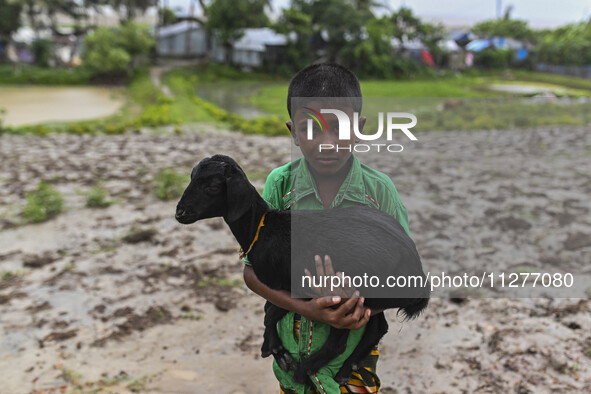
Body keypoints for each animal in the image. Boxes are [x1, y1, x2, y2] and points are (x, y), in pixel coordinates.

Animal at [176, 154, 430, 384]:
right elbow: (269, 311)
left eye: (212, 186)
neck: (262, 227)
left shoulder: (286, 284)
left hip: (349, 293)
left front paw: (274, 349)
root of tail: (417, 274)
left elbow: (271, 312)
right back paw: (347, 368)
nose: (180, 213)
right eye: (191, 177)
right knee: (377, 328)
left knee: (340, 342)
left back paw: (304, 371)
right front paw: (272, 348)